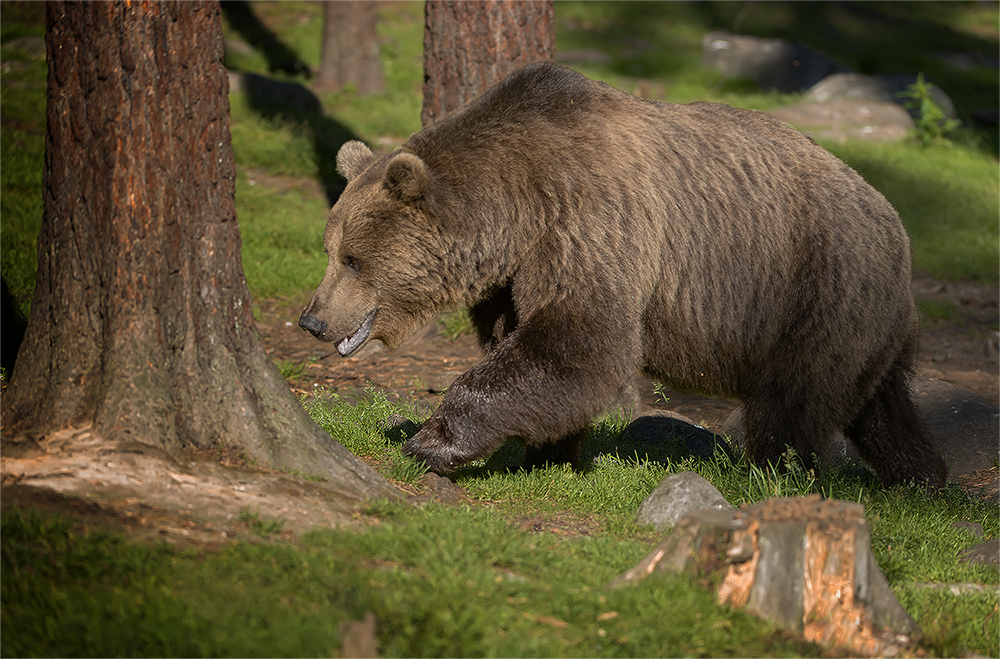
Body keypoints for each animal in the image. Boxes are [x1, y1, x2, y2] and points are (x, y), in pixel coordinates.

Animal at [296, 59, 944, 488]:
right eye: (330, 249)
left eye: (353, 258)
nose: (312, 320)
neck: (515, 209)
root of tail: (897, 229)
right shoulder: (515, 272)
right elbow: (524, 344)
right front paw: (549, 450)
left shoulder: (589, 222)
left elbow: (580, 340)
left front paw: (432, 441)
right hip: (863, 322)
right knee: (881, 409)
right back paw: (922, 479)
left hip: (813, 286)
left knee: (793, 404)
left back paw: (773, 476)